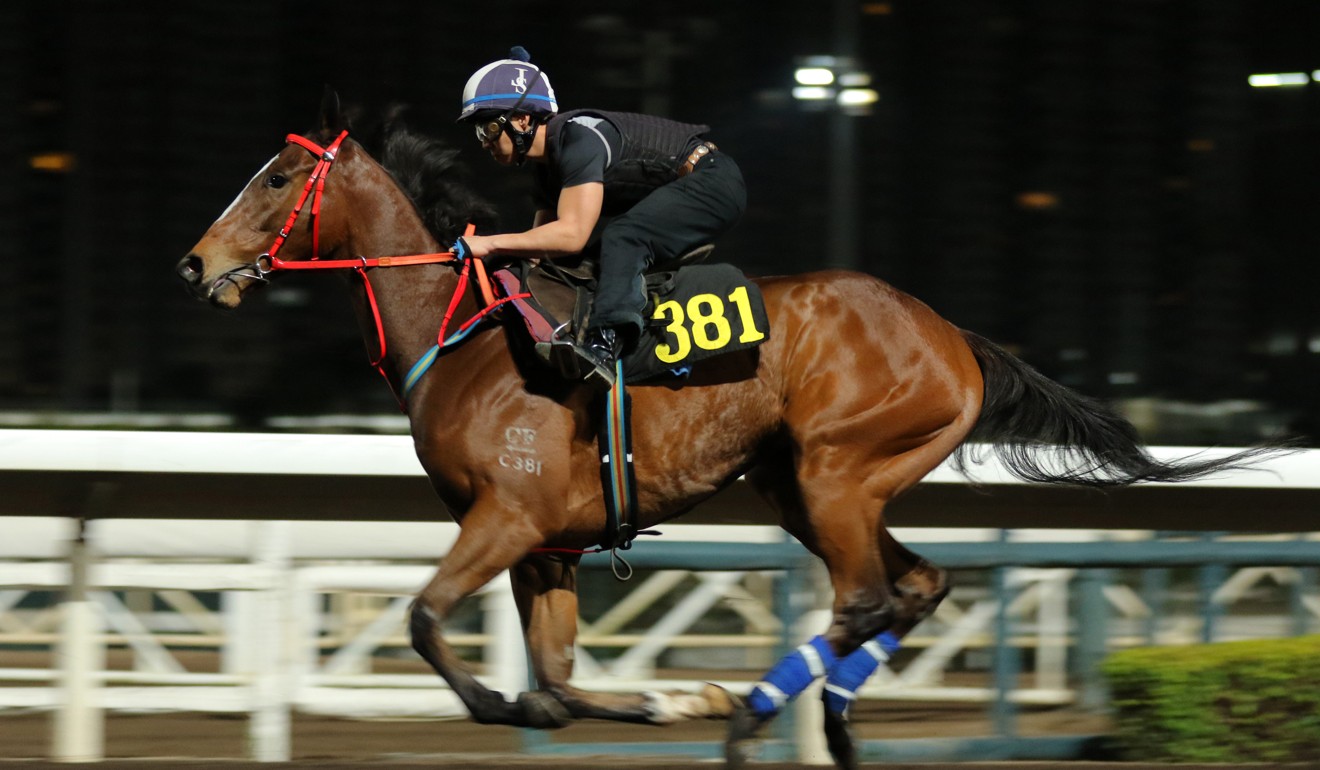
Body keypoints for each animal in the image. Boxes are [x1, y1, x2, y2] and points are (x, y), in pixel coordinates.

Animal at [175, 93, 1277, 766]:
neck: (468, 338)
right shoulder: (548, 545)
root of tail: (951, 333)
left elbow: (427, 623)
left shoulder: (505, 518)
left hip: (837, 469)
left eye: (278, 177)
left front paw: (656, 702)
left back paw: (753, 714)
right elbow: (557, 688)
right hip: (808, 485)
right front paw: (667, 701)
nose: (195, 265)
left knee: (866, 599)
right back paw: (818, 723)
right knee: (914, 586)